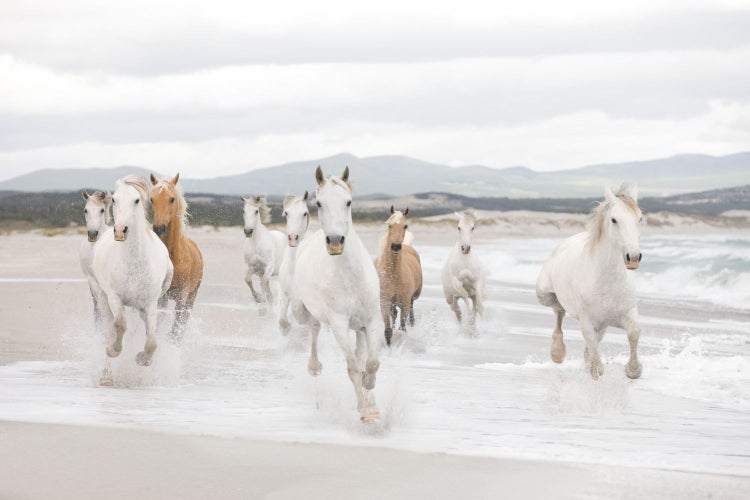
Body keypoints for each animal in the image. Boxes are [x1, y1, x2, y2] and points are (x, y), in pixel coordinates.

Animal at [91, 175, 173, 368]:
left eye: (136, 200)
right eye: (114, 199)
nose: (120, 231)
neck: (135, 263)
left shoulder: (150, 302)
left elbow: (152, 340)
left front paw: (143, 359)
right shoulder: (115, 297)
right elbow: (120, 324)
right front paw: (114, 350)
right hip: (100, 293)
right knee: (107, 321)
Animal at [149, 173, 204, 342]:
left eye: (172, 199)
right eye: (151, 199)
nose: (159, 228)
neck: (174, 256)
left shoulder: (182, 296)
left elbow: (175, 329)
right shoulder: (161, 297)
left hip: (192, 297)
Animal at [292, 166, 382, 421]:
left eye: (348, 202)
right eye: (319, 203)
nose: (334, 242)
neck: (350, 276)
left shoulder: (372, 320)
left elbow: (371, 362)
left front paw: (370, 392)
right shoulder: (340, 323)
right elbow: (352, 368)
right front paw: (364, 411)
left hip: (359, 326)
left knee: (361, 353)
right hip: (302, 311)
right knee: (313, 327)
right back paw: (314, 367)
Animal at [374, 206, 423, 346]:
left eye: (405, 226)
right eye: (389, 225)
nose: (395, 246)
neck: (393, 276)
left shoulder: (404, 303)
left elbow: (403, 329)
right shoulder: (385, 302)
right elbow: (388, 330)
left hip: (412, 298)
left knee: (410, 311)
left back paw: (412, 323)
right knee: (394, 314)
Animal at [536, 183, 644, 380]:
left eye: (640, 218)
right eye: (614, 220)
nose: (633, 257)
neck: (607, 281)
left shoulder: (627, 313)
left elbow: (634, 333)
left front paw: (633, 370)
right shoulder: (587, 321)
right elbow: (594, 353)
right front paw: (595, 368)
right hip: (544, 294)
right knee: (558, 311)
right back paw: (557, 352)